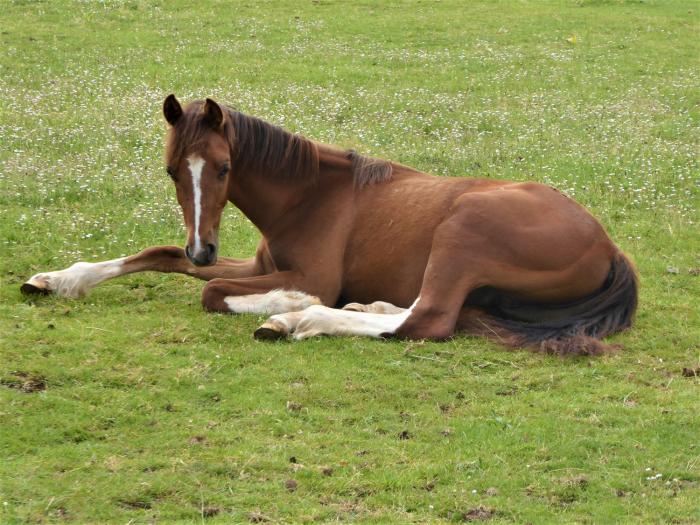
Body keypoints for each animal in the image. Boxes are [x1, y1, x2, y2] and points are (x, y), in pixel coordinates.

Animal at [21, 95, 636, 354]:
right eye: (172, 169)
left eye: (223, 168)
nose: (204, 249)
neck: (308, 194)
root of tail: (611, 249)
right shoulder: (251, 261)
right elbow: (161, 254)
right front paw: (59, 279)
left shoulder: (307, 273)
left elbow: (215, 292)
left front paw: (292, 305)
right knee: (420, 310)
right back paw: (363, 305)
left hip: (464, 230)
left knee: (429, 319)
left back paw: (300, 321)